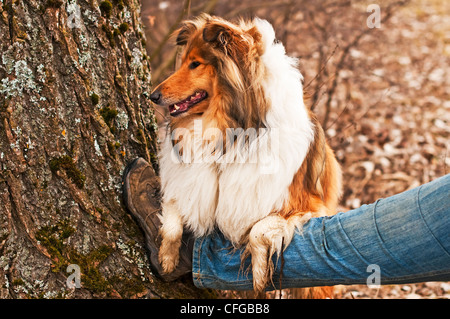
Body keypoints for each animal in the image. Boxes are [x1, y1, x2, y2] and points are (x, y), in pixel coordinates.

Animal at [150, 12, 342, 298]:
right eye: (182, 62)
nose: (151, 95)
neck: (230, 137)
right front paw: (166, 258)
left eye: (195, 64)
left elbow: (258, 230)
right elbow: (173, 219)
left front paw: (260, 273)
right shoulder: (189, 182)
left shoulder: (308, 206)